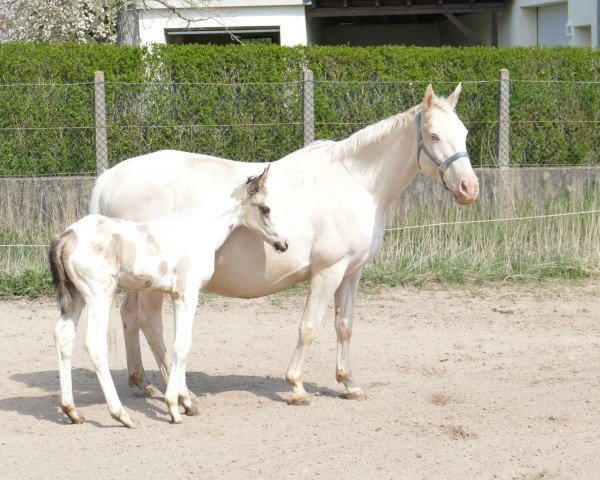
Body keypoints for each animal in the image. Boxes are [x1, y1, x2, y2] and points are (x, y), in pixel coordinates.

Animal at [50, 169, 288, 428]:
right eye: (265, 208)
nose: (283, 243)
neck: (198, 230)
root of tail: (67, 237)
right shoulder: (187, 293)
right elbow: (181, 345)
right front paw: (174, 407)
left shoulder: (175, 295)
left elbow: (175, 345)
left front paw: (185, 403)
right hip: (99, 294)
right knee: (94, 344)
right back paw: (122, 415)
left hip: (77, 296)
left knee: (63, 337)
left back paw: (72, 411)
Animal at [91, 83, 480, 404]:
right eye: (433, 135)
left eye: (463, 132)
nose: (469, 188)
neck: (355, 182)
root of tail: (110, 177)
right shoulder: (328, 271)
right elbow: (308, 327)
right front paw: (296, 386)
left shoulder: (351, 273)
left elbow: (345, 326)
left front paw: (349, 383)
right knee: (149, 323)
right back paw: (177, 389)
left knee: (129, 317)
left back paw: (143, 383)